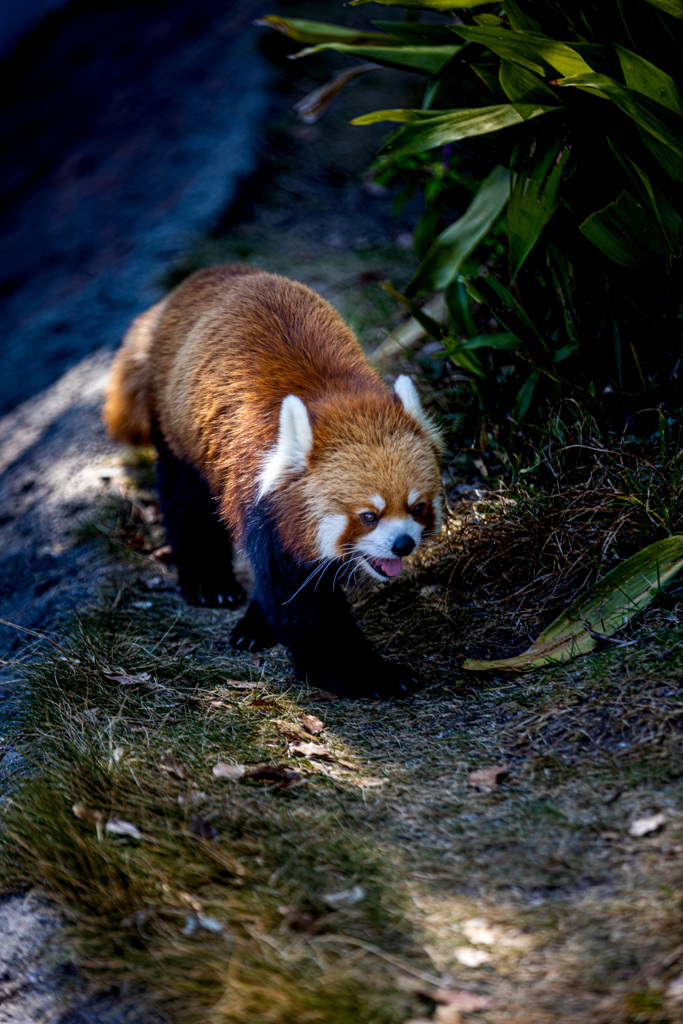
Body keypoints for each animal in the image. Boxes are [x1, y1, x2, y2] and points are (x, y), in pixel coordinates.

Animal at [101, 264, 444, 700]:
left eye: (417, 508)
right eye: (369, 516)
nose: (403, 544)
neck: (338, 402)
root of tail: (207, 276)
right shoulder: (260, 499)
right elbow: (301, 601)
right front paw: (370, 674)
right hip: (176, 426)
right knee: (186, 503)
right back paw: (209, 583)